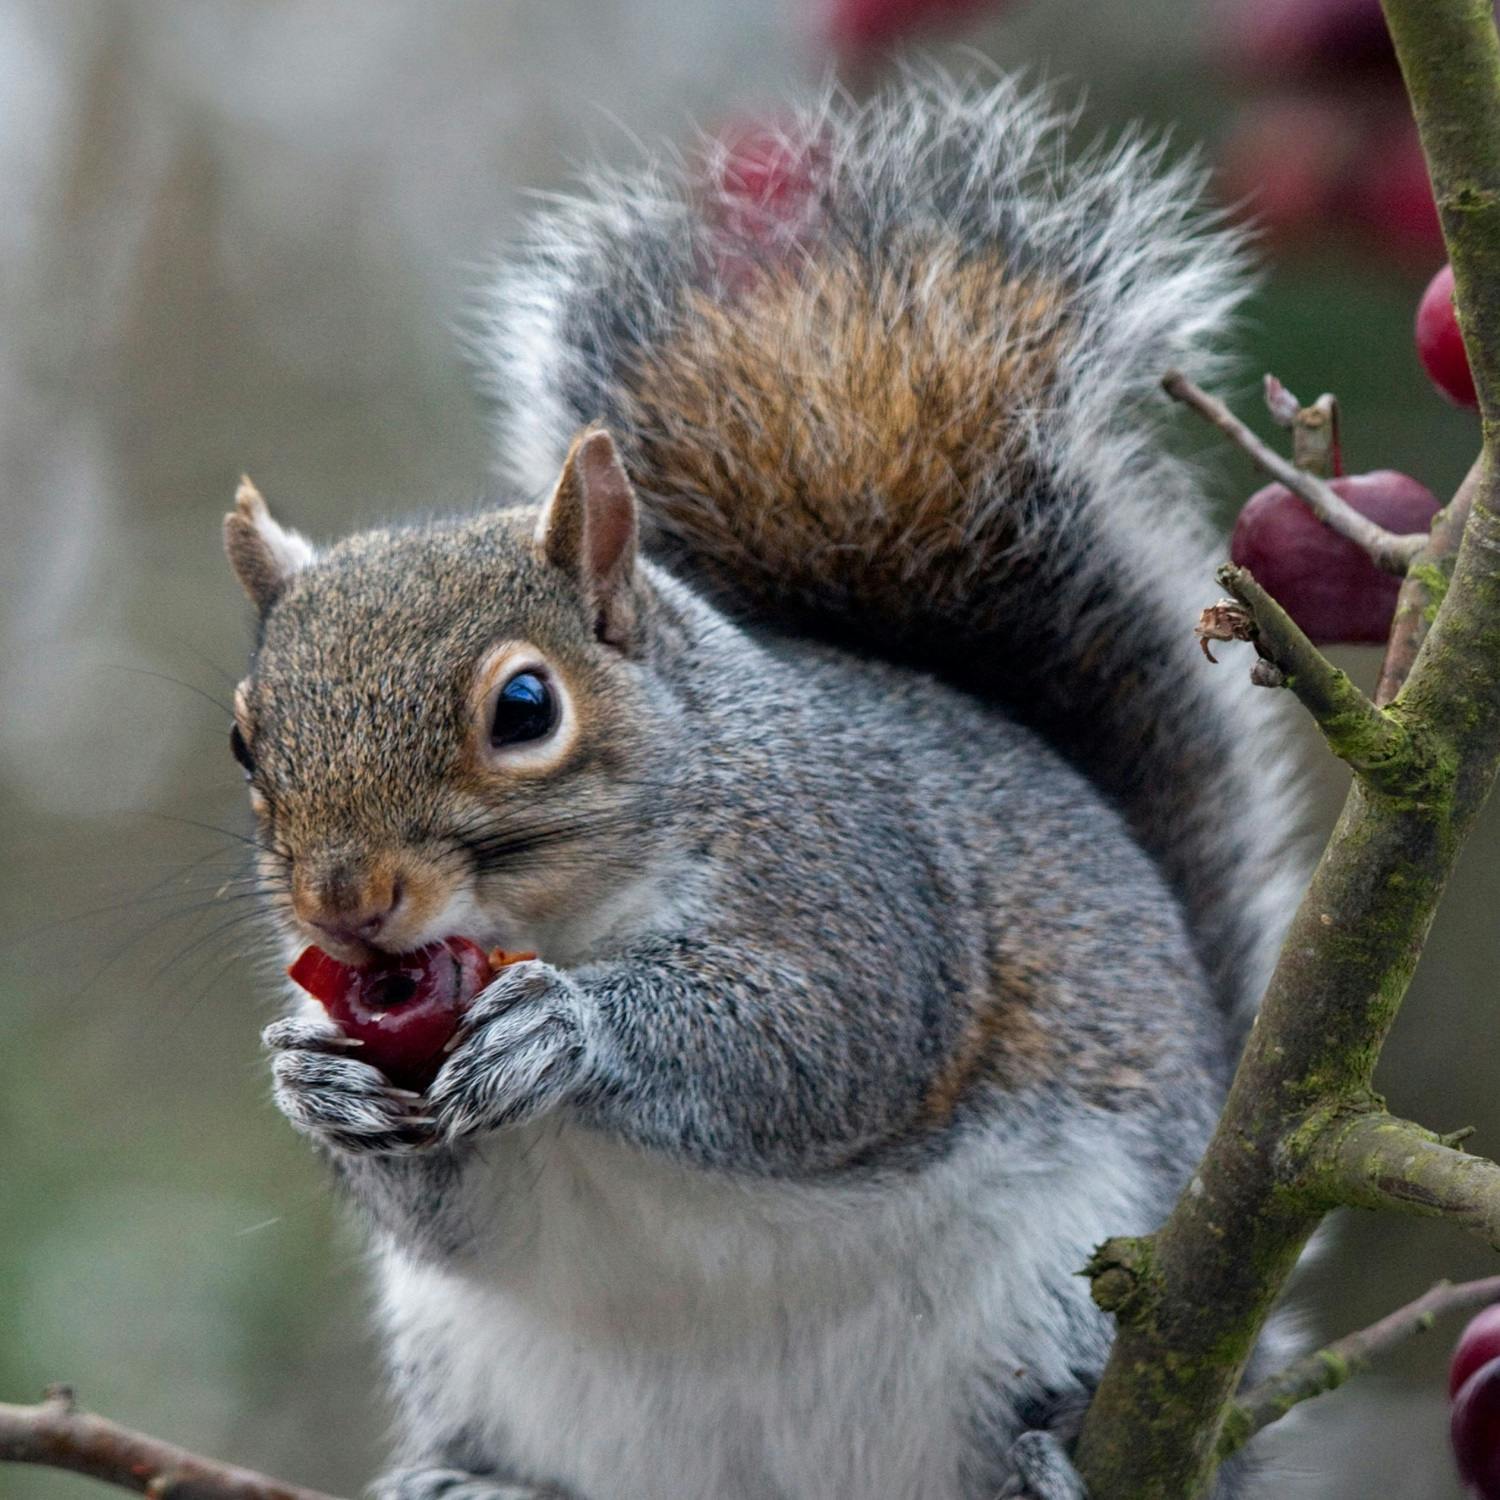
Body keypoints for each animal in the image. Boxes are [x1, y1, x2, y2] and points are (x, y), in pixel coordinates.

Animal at [224, 72, 1300, 1500]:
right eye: (247, 743)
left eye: (526, 709)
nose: (347, 905)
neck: (559, 919)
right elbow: (444, 1215)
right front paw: (315, 1081)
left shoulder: (860, 882)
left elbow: (821, 1039)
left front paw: (570, 1030)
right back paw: (464, 1480)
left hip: (1087, 1290)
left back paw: (1051, 1448)